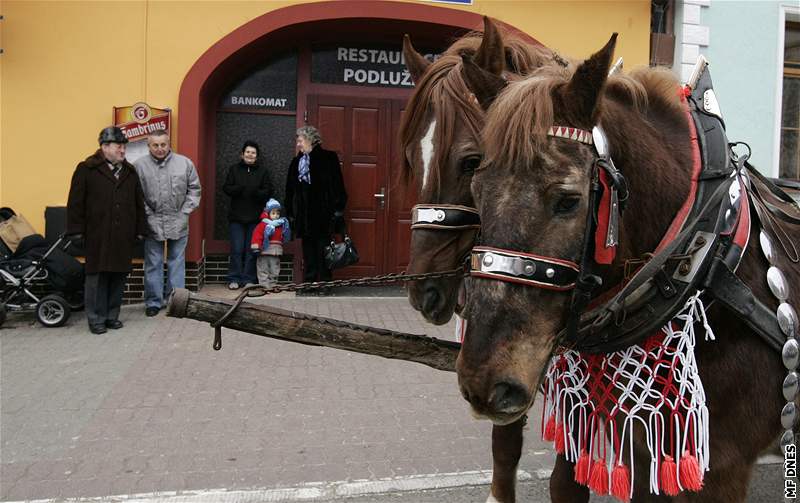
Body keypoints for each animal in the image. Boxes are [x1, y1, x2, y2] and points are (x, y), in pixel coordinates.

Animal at [460, 33, 796, 502]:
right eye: (477, 189)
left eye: (568, 200)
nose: (485, 381)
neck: (709, 263)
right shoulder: (643, 452)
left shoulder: (722, 469)